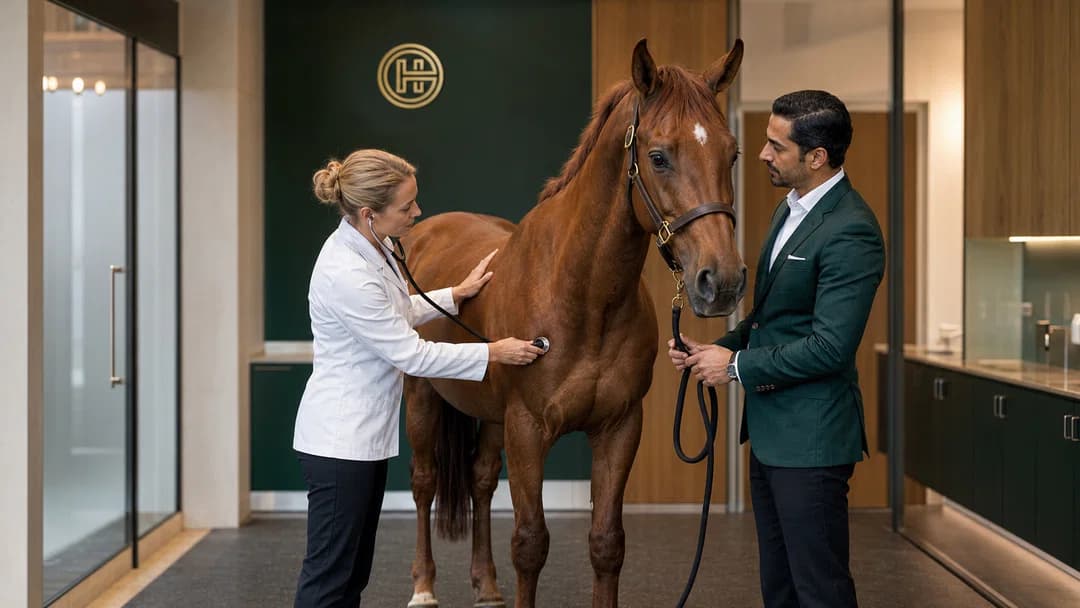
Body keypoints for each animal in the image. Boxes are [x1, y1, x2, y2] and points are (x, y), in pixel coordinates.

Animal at [401, 39, 746, 608]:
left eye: (732, 153)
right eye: (658, 156)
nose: (722, 282)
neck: (584, 299)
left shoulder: (619, 427)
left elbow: (606, 543)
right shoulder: (527, 429)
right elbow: (530, 543)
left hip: (490, 417)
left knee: (479, 481)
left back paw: (486, 584)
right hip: (421, 395)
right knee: (424, 482)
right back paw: (424, 587)